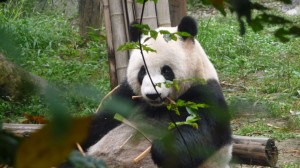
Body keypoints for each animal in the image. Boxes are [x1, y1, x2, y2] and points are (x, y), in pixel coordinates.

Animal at [81, 16, 232, 168]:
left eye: (166, 71)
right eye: (142, 71)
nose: (152, 95)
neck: (158, 107)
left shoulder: (205, 94)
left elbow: (201, 133)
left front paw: (163, 149)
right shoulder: (128, 94)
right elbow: (104, 120)